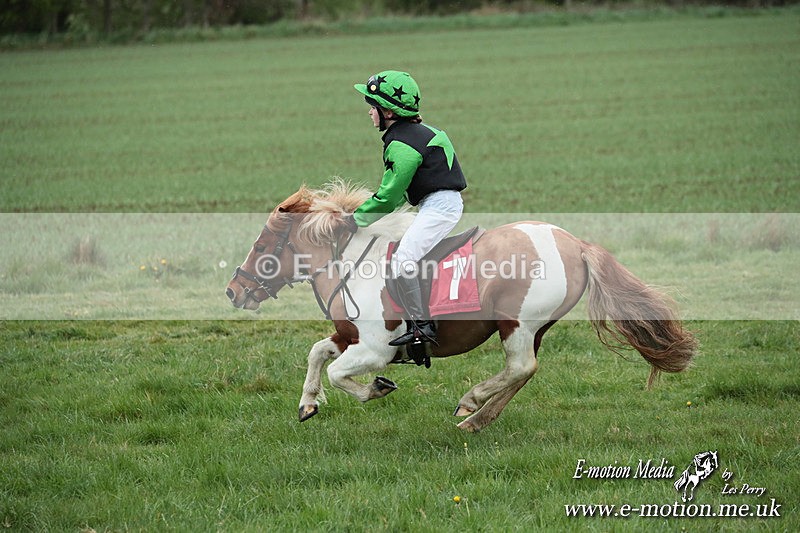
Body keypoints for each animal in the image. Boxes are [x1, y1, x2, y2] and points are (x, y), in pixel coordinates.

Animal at [225, 180, 697, 432]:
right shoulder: (349, 335)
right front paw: (308, 403)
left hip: (517, 323)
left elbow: (341, 373)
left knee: (520, 367)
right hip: (533, 329)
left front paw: (376, 388)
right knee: (523, 372)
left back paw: (471, 404)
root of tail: (576, 243)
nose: (233, 291)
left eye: (263, 245)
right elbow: (317, 353)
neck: (350, 261)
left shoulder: (375, 348)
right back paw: (477, 420)